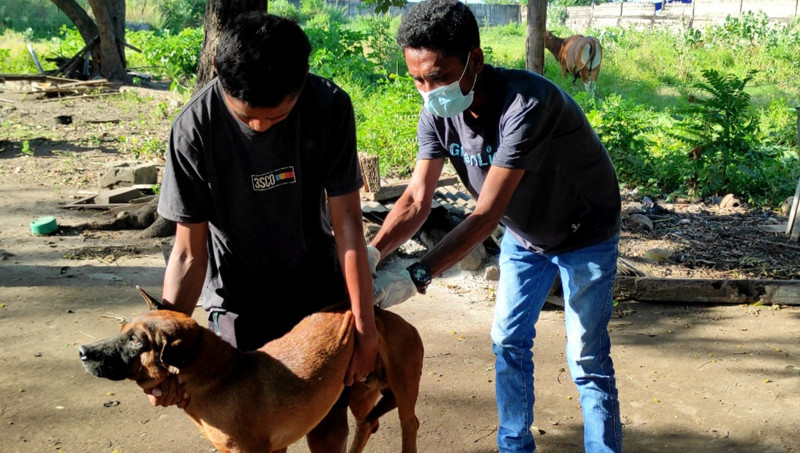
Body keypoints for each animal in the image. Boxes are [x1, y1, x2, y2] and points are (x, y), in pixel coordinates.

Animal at [78, 288, 422, 450]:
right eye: (122, 329)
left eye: (136, 342)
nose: (82, 352)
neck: (225, 375)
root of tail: (383, 314)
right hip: (361, 393)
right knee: (368, 424)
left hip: (403, 389)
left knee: (409, 424)